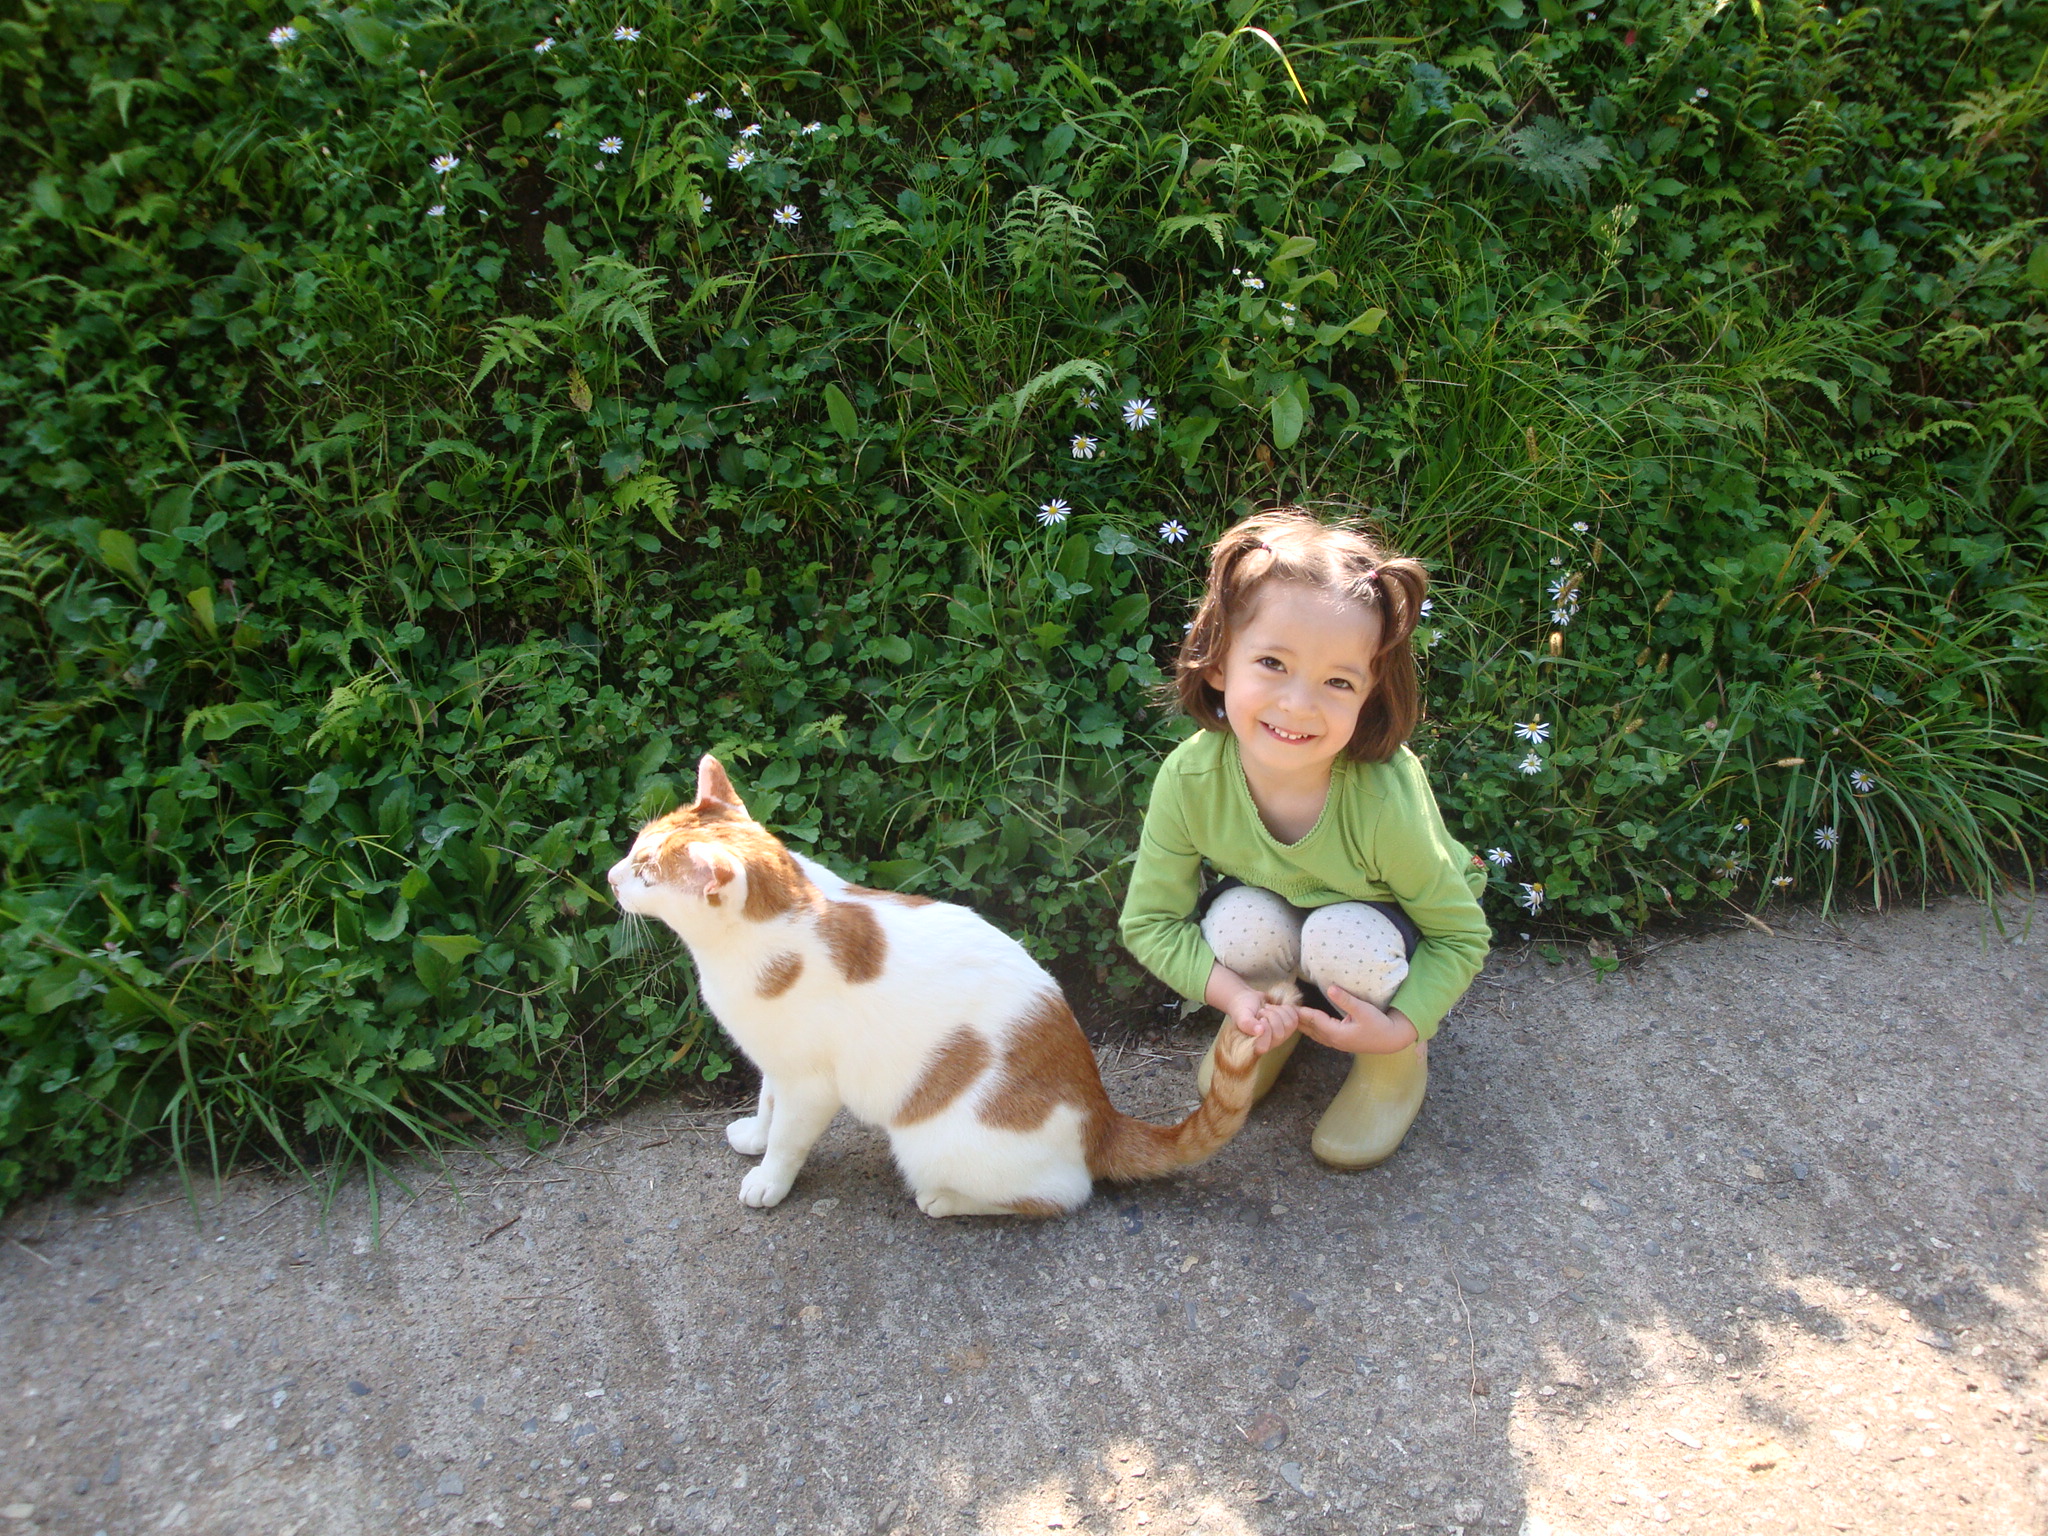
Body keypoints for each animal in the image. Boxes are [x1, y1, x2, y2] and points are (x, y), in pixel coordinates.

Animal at [606, 754, 1258, 1217]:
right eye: (635, 850)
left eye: (645, 872)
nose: (611, 877)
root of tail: (1101, 1115)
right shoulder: (778, 1061)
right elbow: (766, 1104)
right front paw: (754, 1135)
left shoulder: (810, 1085)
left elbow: (789, 1138)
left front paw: (769, 1178)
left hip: (932, 1143)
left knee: (1063, 1195)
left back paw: (944, 1200)